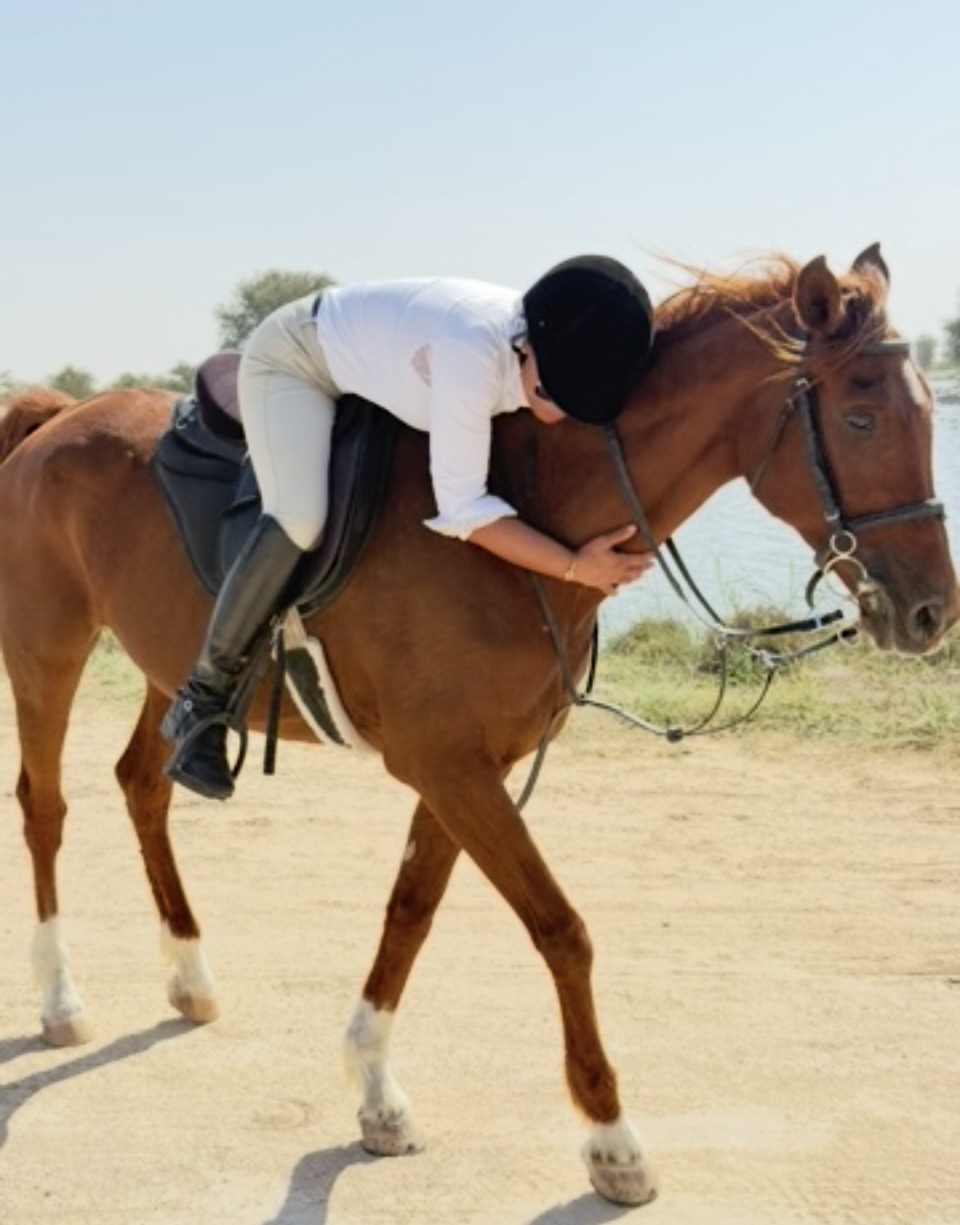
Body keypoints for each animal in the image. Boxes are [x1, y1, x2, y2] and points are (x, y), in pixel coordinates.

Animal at [0, 244, 955, 1207]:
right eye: (862, 418)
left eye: (923, 413)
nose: (930, 612)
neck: (533, 506)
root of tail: (56, 415)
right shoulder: (452, 768)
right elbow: (561, 929)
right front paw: (612, 1139)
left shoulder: (463, 767)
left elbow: (410, 911)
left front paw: (377, 1092)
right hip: (48, 650)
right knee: (45, 804)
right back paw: (61, 1001)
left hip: (167, 664)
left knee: (143, 785)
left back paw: (190, 976)